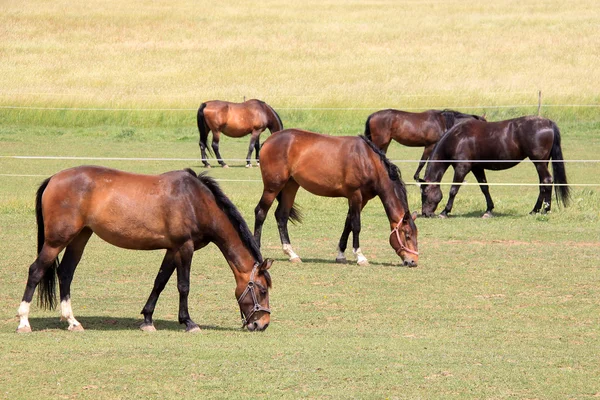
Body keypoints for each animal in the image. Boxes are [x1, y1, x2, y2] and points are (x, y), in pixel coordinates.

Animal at [15, 166, 274, 334]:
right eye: (261, 290)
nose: (262, 324)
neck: (196, 201)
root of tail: (53, 178)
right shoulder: (185, 248)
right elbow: (183, 286)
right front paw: (188, 322)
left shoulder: (172, 249)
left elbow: (159, 282)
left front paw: (148, 319)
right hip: (56, 241)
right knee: (36, 271)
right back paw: (23, 322)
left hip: (80, 237)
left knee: (66, 273)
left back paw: (72, 321)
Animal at [252, 130, 418, 268]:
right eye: (407, 235)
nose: (413, 261)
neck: (368, 161)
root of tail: (268, 141)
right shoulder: (355, 195)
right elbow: (356, 225)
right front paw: (360, 257)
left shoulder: (362, 199)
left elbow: (348, 224)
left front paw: (341, 255)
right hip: (273, 187)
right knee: (260, 212)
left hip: (290, 186)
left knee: (281, 216)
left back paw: (292, 254)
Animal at [420, 115, 568, 219]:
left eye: (425, 194)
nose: (426, 213)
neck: (457, 138)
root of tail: (548, 123)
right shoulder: (477, 168)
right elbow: (484, 188)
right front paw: (489, 210)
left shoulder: (462, 168)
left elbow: (453, 190)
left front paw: (445, 211)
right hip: (543, 162)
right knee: (543, 184)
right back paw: (535, 210)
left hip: (539, 163)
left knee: (547, 181)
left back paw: (545, 210)